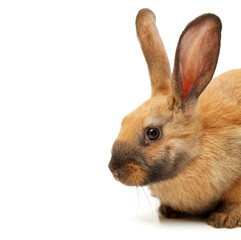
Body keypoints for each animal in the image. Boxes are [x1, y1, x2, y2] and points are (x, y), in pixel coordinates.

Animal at [108, 8, 241, 228]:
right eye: (124, 121)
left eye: (153, 133)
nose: (114, 170)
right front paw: (169, 211)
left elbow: (235, 200)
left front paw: (223, 219)